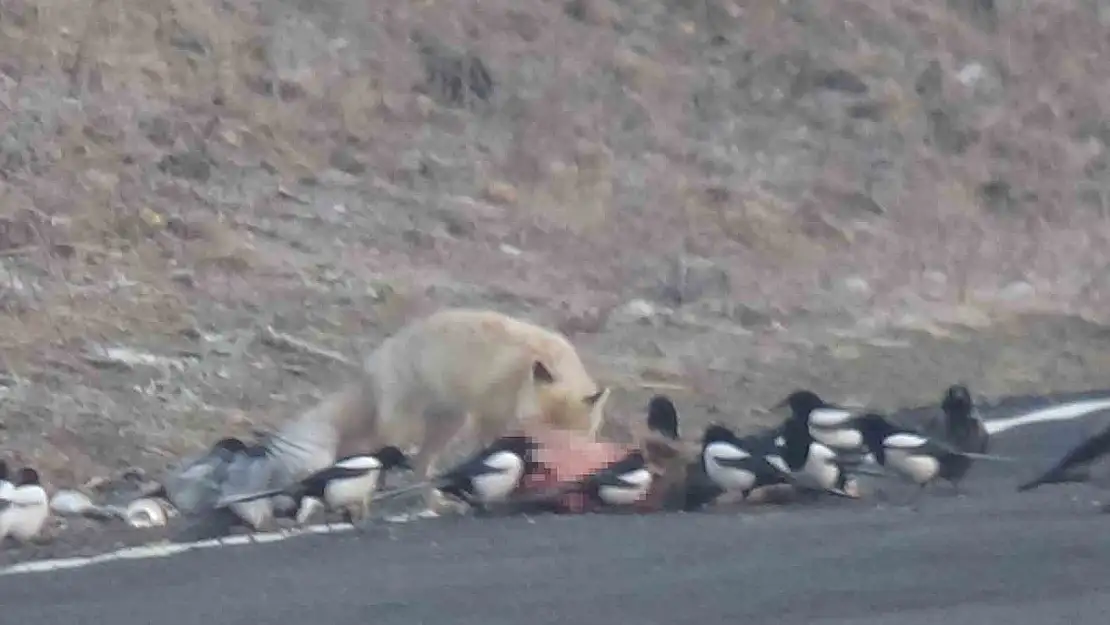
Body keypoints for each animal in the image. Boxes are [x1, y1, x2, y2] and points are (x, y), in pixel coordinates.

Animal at [259, 306, 612, 512]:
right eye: (538, 431)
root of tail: (375, 360)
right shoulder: (489, 417)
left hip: (447, 424)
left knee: (417, 464)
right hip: (403, 430)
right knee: (364, 453)